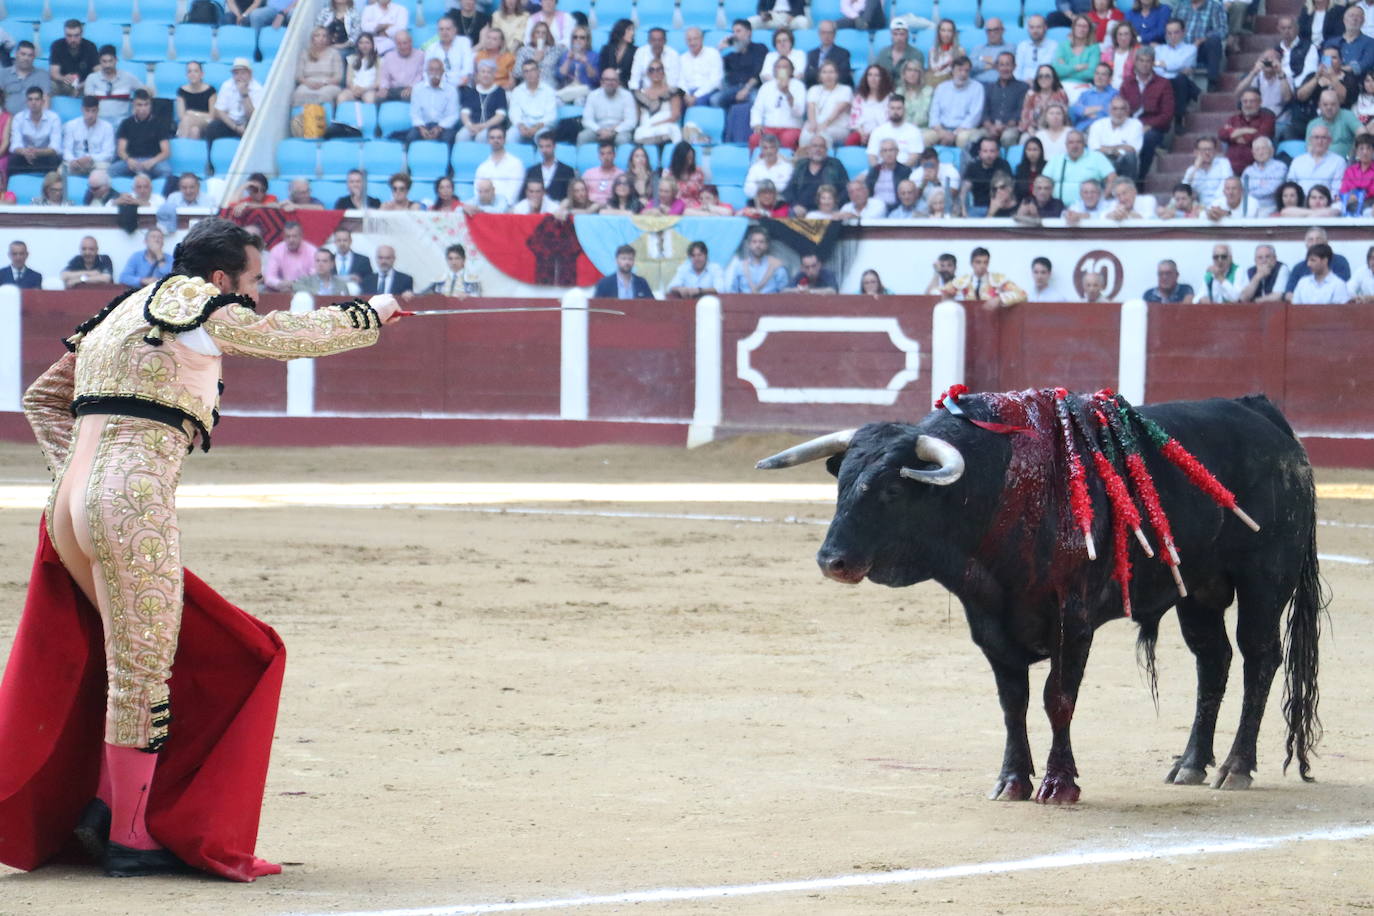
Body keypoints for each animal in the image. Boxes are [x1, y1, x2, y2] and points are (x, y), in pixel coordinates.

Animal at [758, 395, 1324, 802]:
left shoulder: (1074, 619)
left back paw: (1236, 767)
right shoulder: (988, 620)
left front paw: (1059, 785)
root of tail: (1262, 413)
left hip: (1264, 581)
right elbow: (1013, 702)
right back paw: (1189, 765)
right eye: (842, 486)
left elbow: (1058, 698)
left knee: (1258, 658)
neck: (1000, 490)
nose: (832, 560)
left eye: (892, 492)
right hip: (1199, 592)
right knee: (1213, 660)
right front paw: (1012, 782)